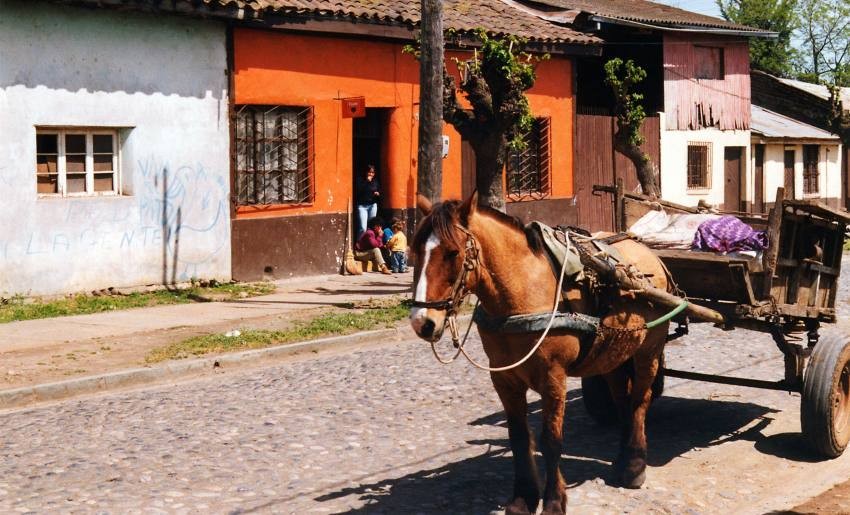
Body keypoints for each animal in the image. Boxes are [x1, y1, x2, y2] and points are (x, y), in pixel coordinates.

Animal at [410, 195, 668, 515]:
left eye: (452, 253)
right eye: (416, 251)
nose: (423, 322)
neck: (522, 291)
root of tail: (647, 251)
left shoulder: (553, 377)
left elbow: (551, 440)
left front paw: (554, 501)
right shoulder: (504, 379)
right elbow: (519, 437)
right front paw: (523, 498)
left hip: (648, 351)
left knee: (639, 401)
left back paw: (634, 464)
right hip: (613, 352)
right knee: (622, 399)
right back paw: (622, 459)